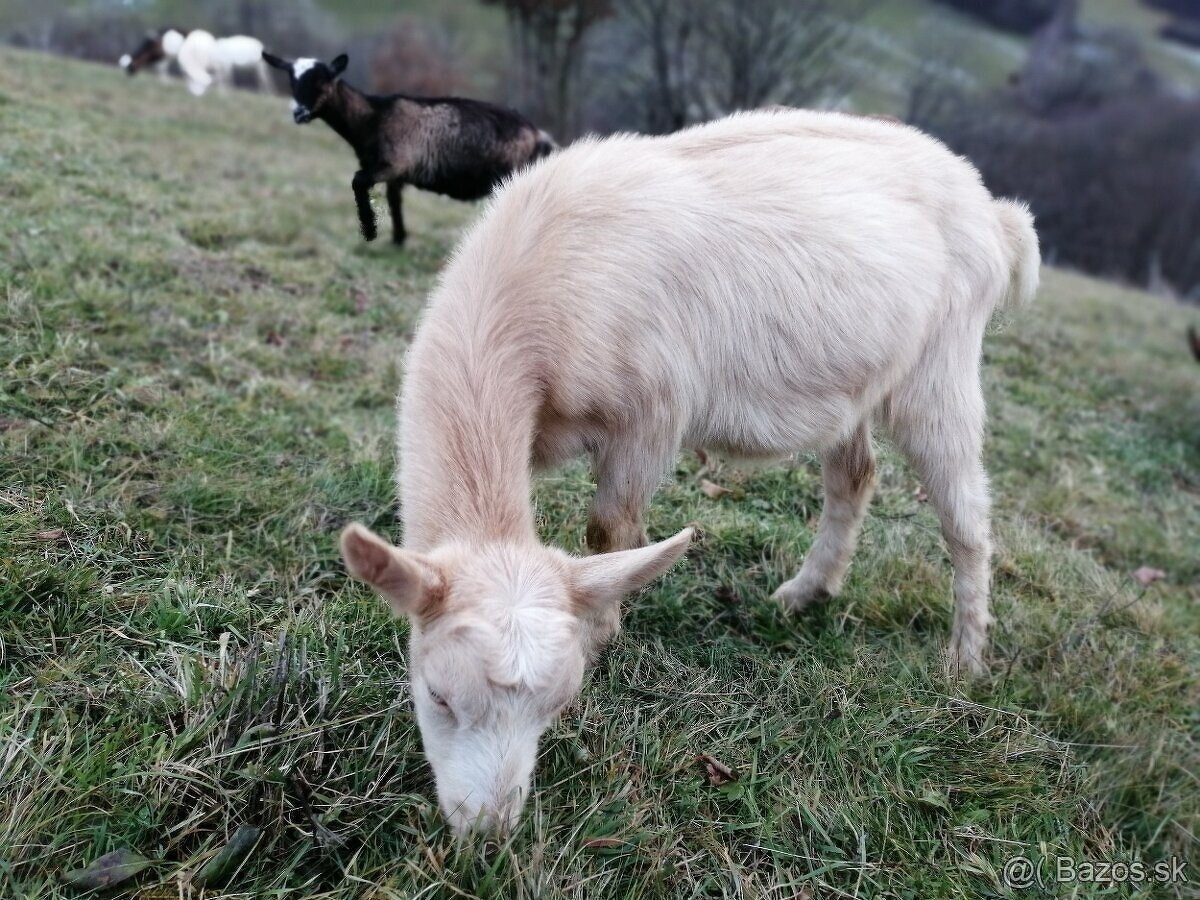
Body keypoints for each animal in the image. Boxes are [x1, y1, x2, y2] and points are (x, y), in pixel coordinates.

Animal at [340, 107, 1041, 840]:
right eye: (438, 696)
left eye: (558, 704)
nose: (490, 830)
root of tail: (992, 212)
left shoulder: (649, 418)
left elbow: (608, 530)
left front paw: (599, 633)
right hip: (857, 382)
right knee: (854, 476)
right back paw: (807, 592)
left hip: (941, 369)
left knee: (966, 520)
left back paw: (965, 658)